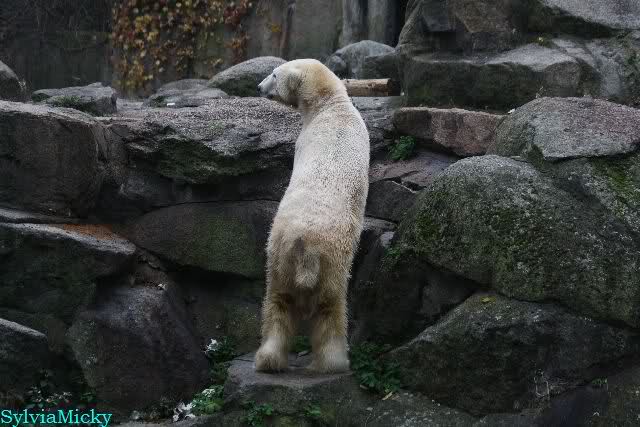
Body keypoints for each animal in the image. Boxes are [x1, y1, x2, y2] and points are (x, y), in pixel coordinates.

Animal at [255, 59, 370, 373]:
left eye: (273, 74)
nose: (258, 87)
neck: (331, 105)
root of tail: (305, 247)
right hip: (303, 262)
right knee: (304, 306)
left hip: (297, 258)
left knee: (289, 305)